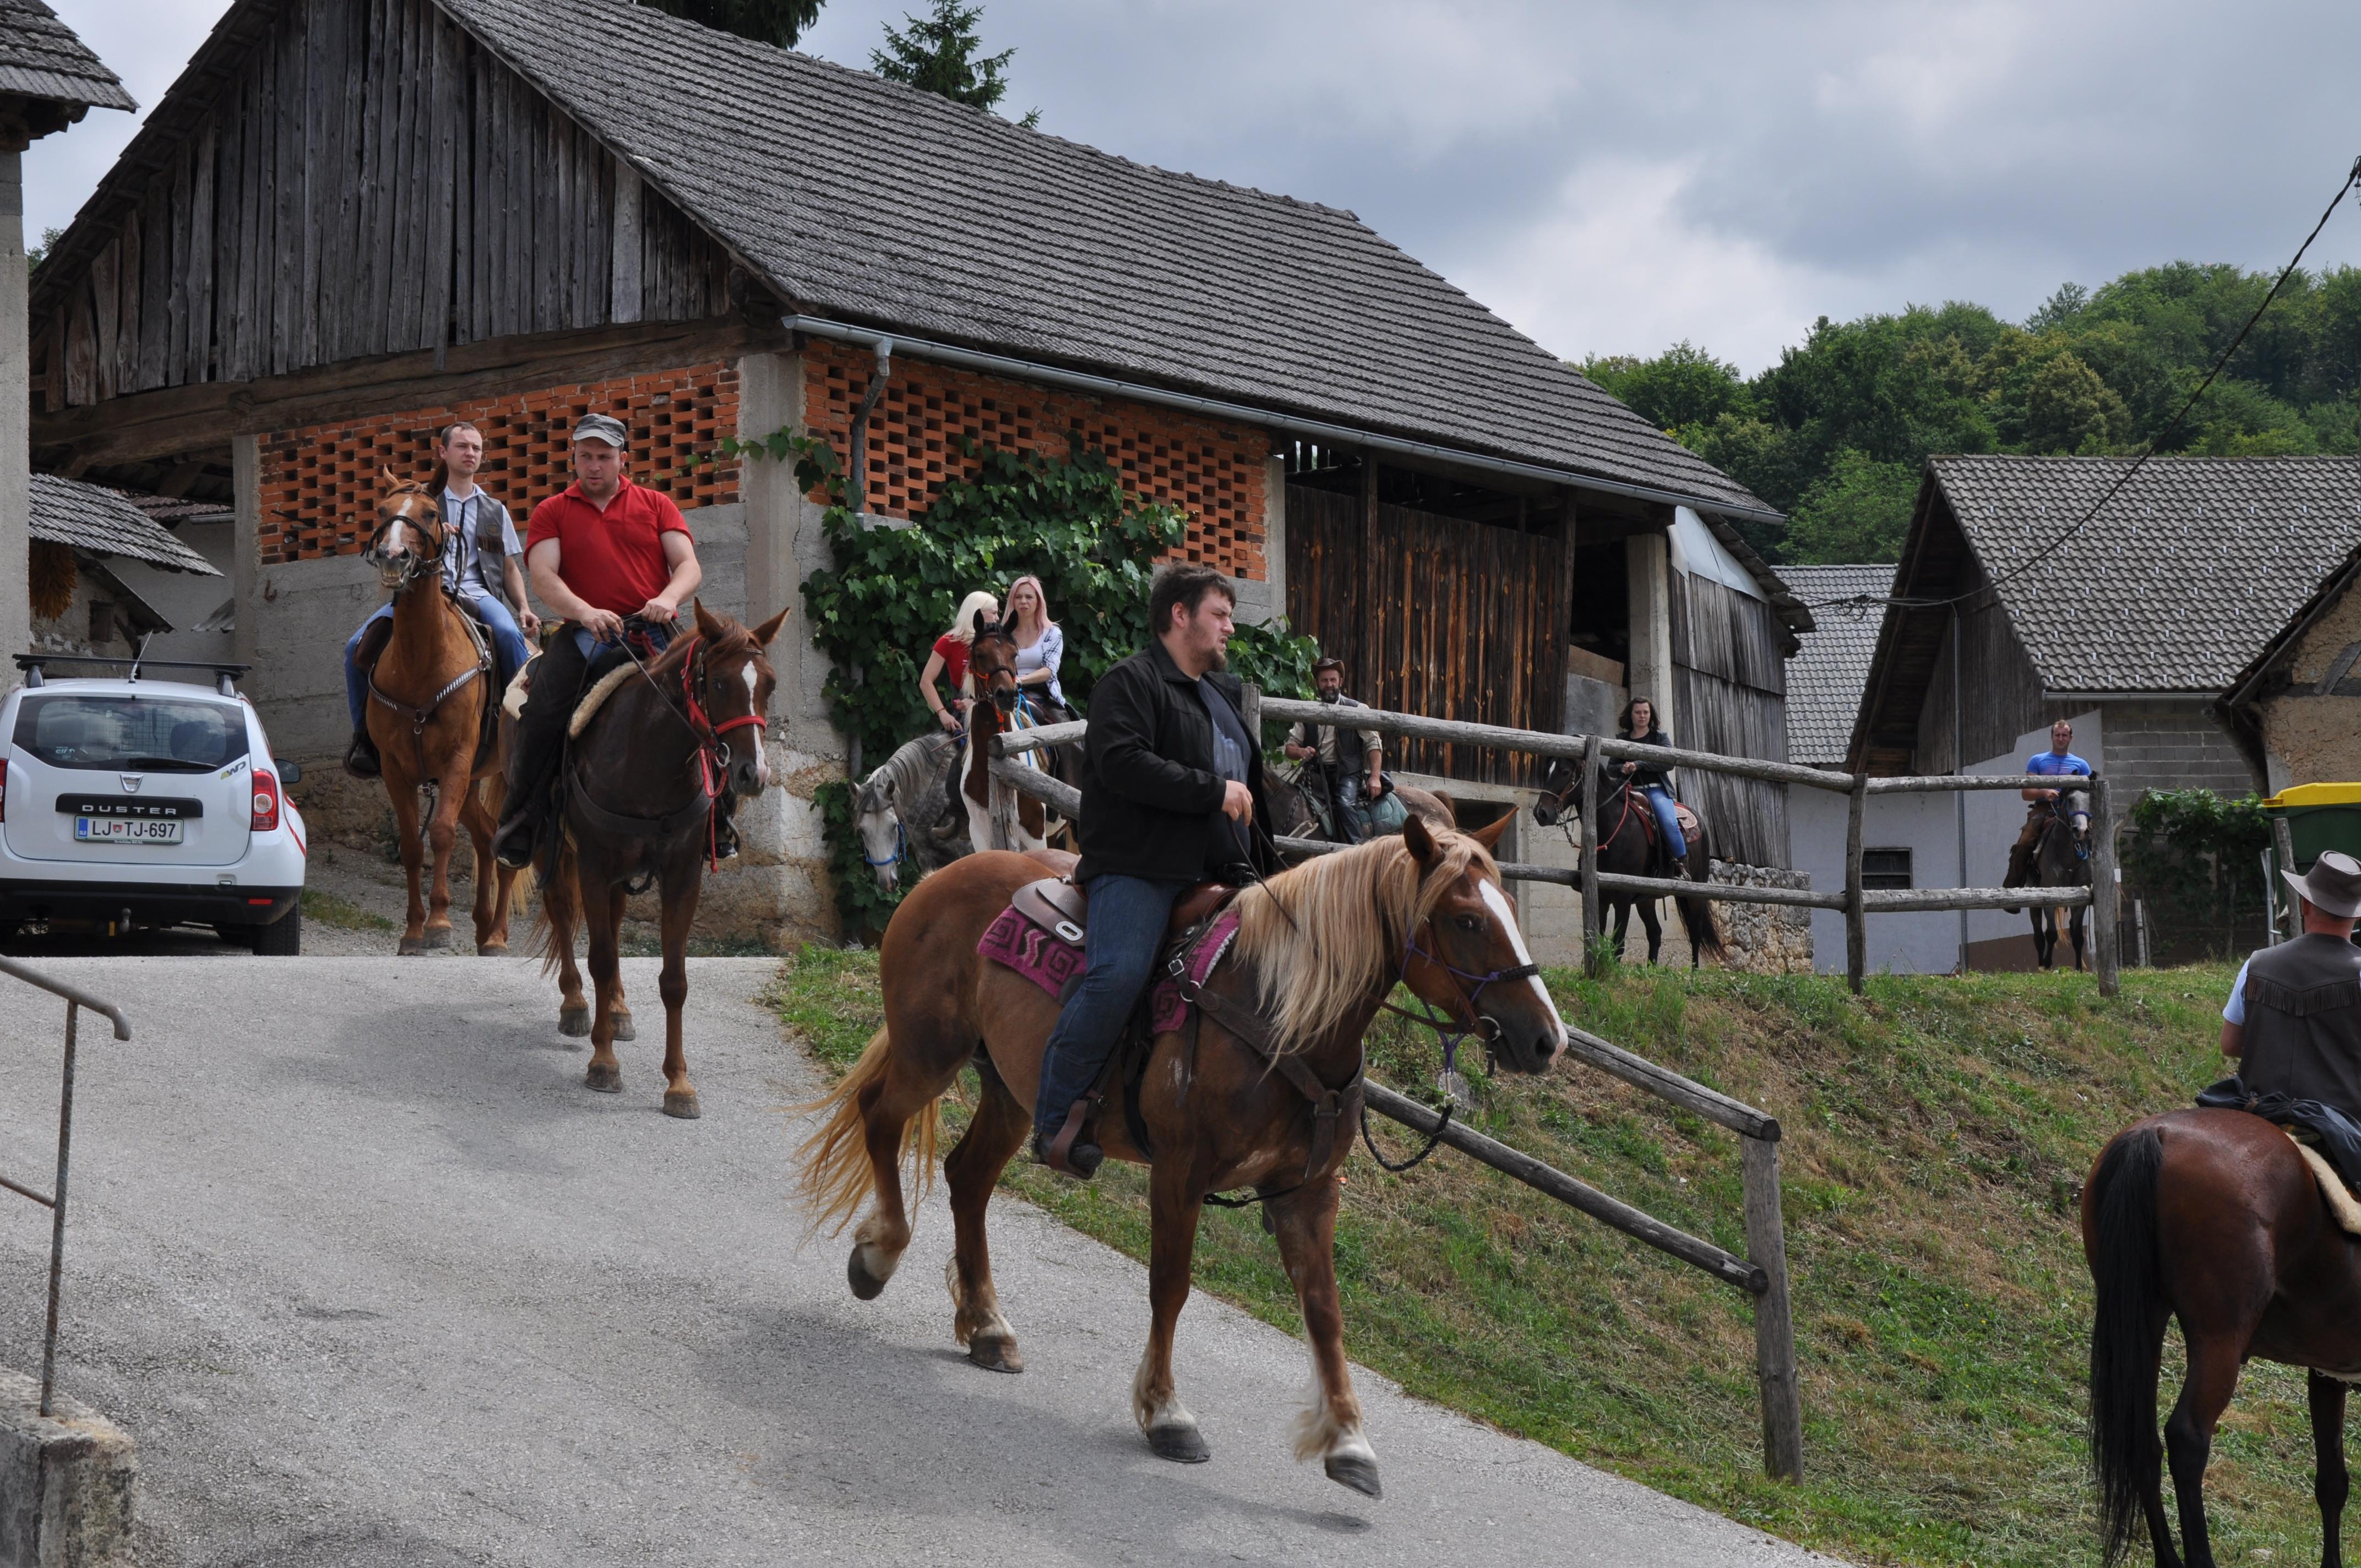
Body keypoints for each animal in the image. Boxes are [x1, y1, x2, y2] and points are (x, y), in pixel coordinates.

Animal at [531, 600, 787, 1119]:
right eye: (719, 683)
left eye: (769, 684)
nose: (753, 774)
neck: (647, 758)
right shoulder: (592, 866)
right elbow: (601, 958)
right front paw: (603, 1063)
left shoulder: (683, 876)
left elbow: (674, 980)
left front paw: (679, 1084)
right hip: (557, 853)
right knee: (564, 915)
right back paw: (576, 1006)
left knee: (612, 922)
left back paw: (617, 1011)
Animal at [793, 814, 1565, 1494]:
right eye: (1466, 920)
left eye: (1508, 909)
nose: (1546, 1040)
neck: (1280, 1014)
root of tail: (939, 878)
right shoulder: (1180, 1173)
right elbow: (1170, 1285)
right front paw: (1167, 1413)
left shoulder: (1308, 1191)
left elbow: (1324, 1310)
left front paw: (1348, 1441)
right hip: (929, 1052)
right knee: (879, 1119)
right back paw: (879, 1255)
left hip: (1010, 1092)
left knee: (967, 1177)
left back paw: (987, 1328)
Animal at [1531, 757, 1723, 967]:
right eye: (1547, 771)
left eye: (1565, 772)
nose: (1541, 813)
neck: (1611, 829)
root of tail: (1700, 822)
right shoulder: (1601, 898)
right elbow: (1597, 941)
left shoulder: (1622, 898)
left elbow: (1618, 945)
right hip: (1646, 899)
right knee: (1655, 933)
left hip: (1695, 894)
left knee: (1695, 933)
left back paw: (1694, 972)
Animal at [2022, 792, 2091, 970]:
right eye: (2070, 800)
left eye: (2089, 800)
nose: (2081, 831)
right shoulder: (2049, 896)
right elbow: (2051, 933)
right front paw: (2047, 964)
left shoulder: (2081, 900)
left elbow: (2077, 935)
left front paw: (2079, 969)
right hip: (2034, 902)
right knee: (2039, 936)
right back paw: (2040, 966)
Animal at [2084, 1109, 2361, 1567]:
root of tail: (2156, 1133)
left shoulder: (2327, 1371)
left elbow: (2332, 1482)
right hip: (2219, 1340)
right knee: (2187, 1438)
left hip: (2143, 1318)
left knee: (2142, 1440)